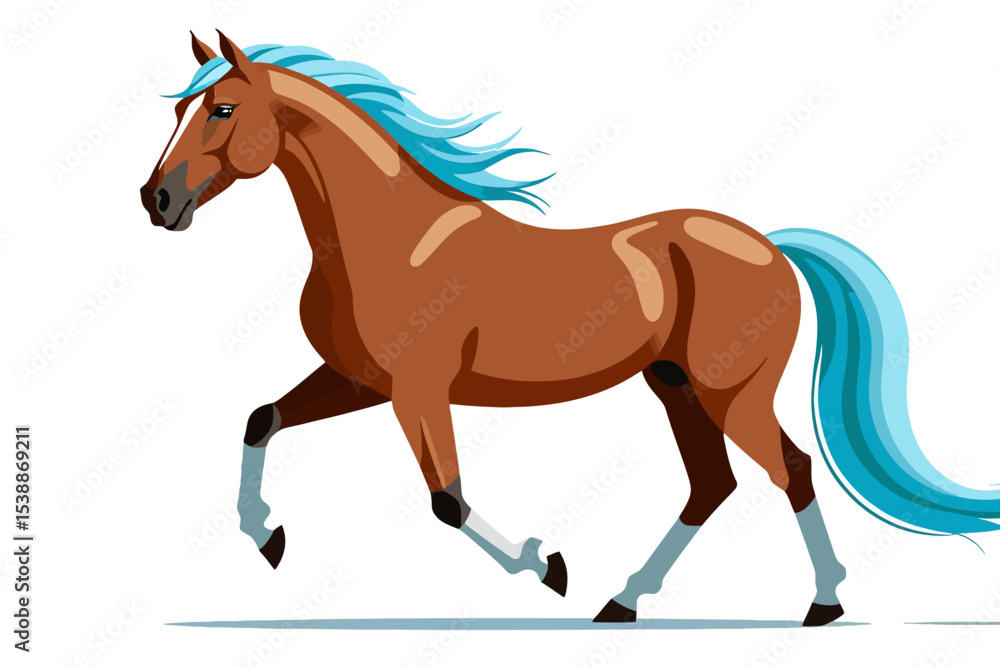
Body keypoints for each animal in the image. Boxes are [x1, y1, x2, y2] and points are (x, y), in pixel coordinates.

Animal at [141, 32, 1000, 627]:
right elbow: (261, 418)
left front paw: (545, 564)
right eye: (179, 108)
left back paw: (822, 604)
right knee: (712, 483)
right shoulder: (362, 381)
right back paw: (625, 600)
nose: (156, 200)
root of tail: (771, 244)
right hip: (675, 387)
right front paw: (268, 537)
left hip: (732, 391)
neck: (389, 239)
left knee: (788, 468)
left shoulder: (418, 389)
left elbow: (447, 499)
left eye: (223, 109)